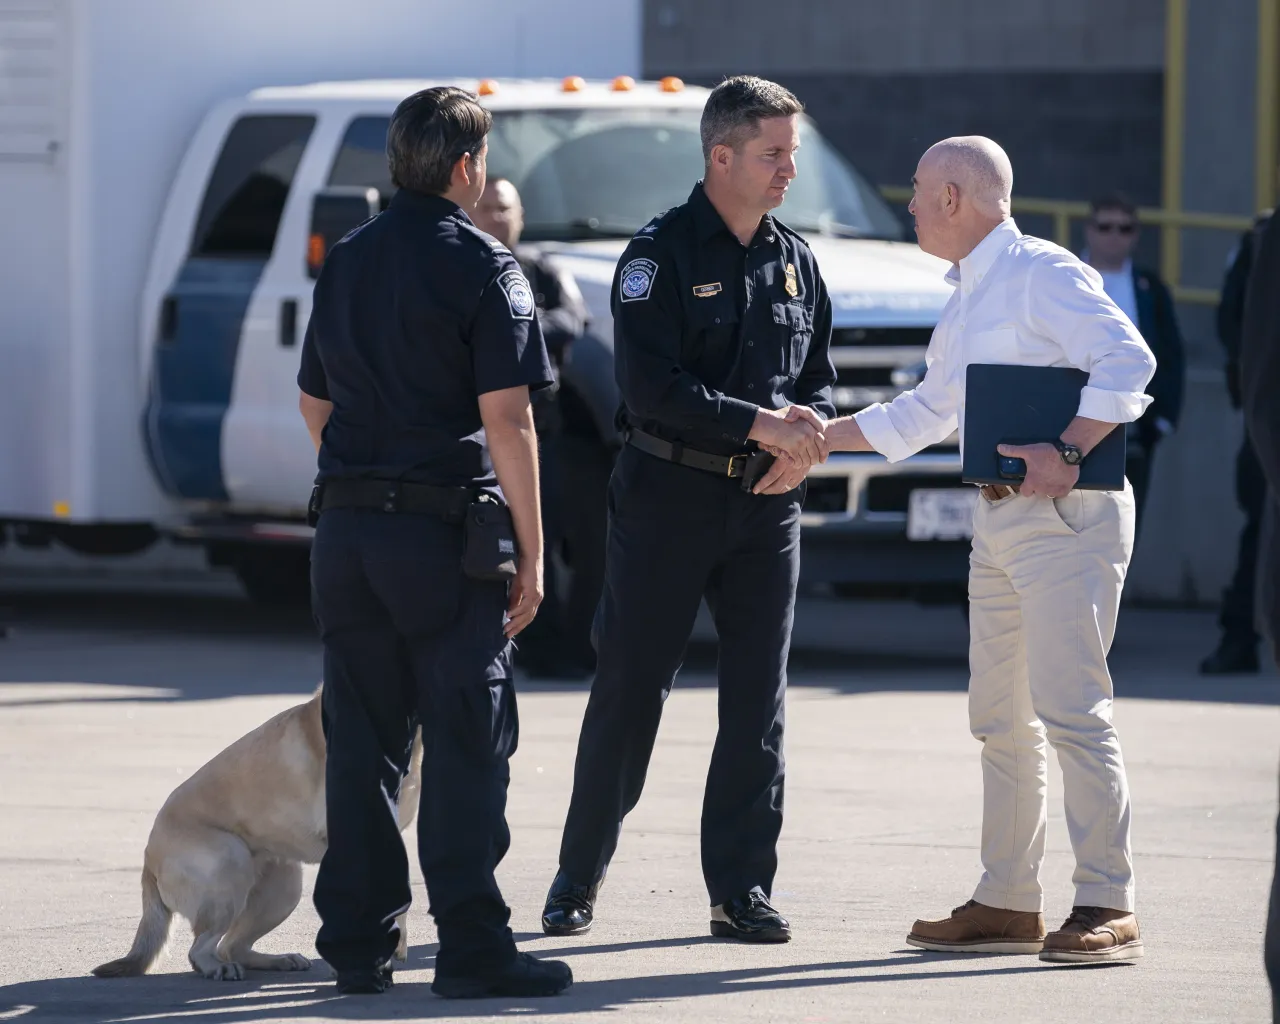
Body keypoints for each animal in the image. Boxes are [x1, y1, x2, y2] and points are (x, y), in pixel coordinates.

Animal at [96, 691, 424, 977]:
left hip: (283, 889)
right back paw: (219, 969)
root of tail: (148, 859)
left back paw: (279, 960)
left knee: (232, 946)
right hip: (230, 865)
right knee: (201, 949)